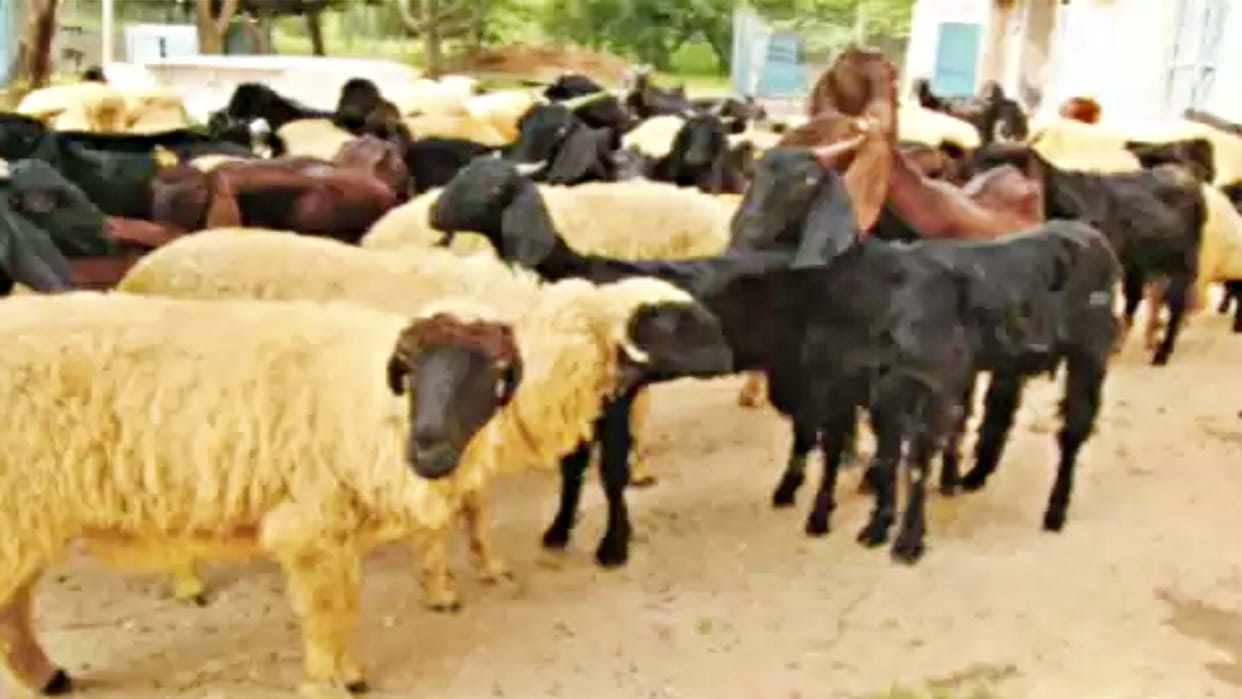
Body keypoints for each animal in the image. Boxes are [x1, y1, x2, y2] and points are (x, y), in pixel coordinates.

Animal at [115, 229, 731, 606]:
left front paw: (488, 563)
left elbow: (476, 504)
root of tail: (141, 269)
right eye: (676, 321)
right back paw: (187, 579)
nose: (729, 356)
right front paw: (441, 585)